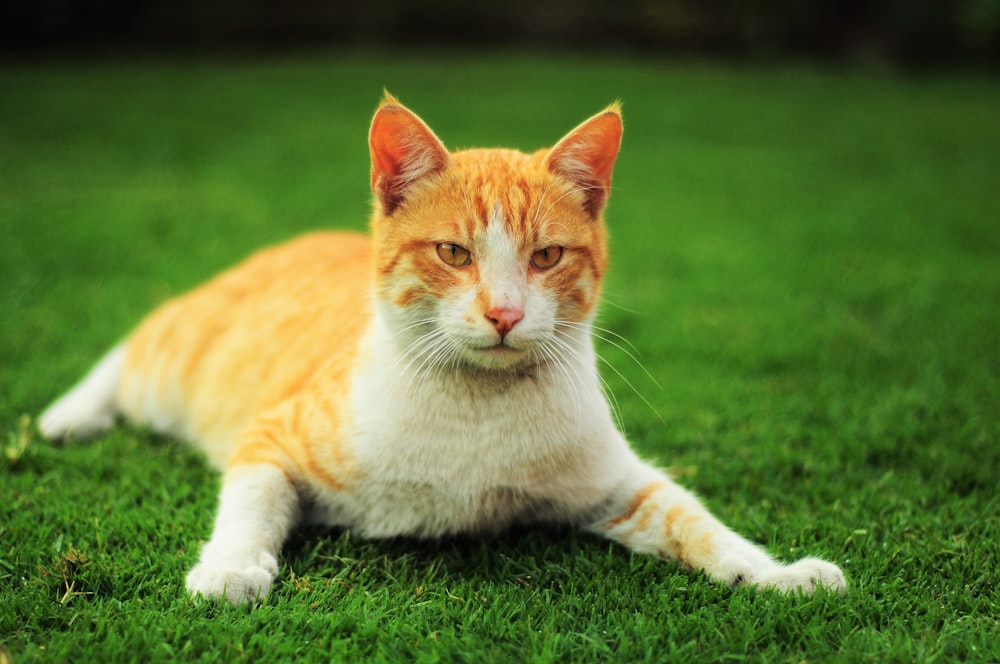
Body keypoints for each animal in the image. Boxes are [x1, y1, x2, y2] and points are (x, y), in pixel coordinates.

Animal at [37, 93, 844, 600]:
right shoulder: (271, 440)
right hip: (175, 359)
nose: (504, 312)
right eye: (454, 252)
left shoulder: (619, 484)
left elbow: (697, 523)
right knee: (133, 348)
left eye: (547, 256)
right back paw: (67, 415)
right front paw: (232, 569)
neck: (477, 414)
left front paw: (775, 573)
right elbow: (248, 510)